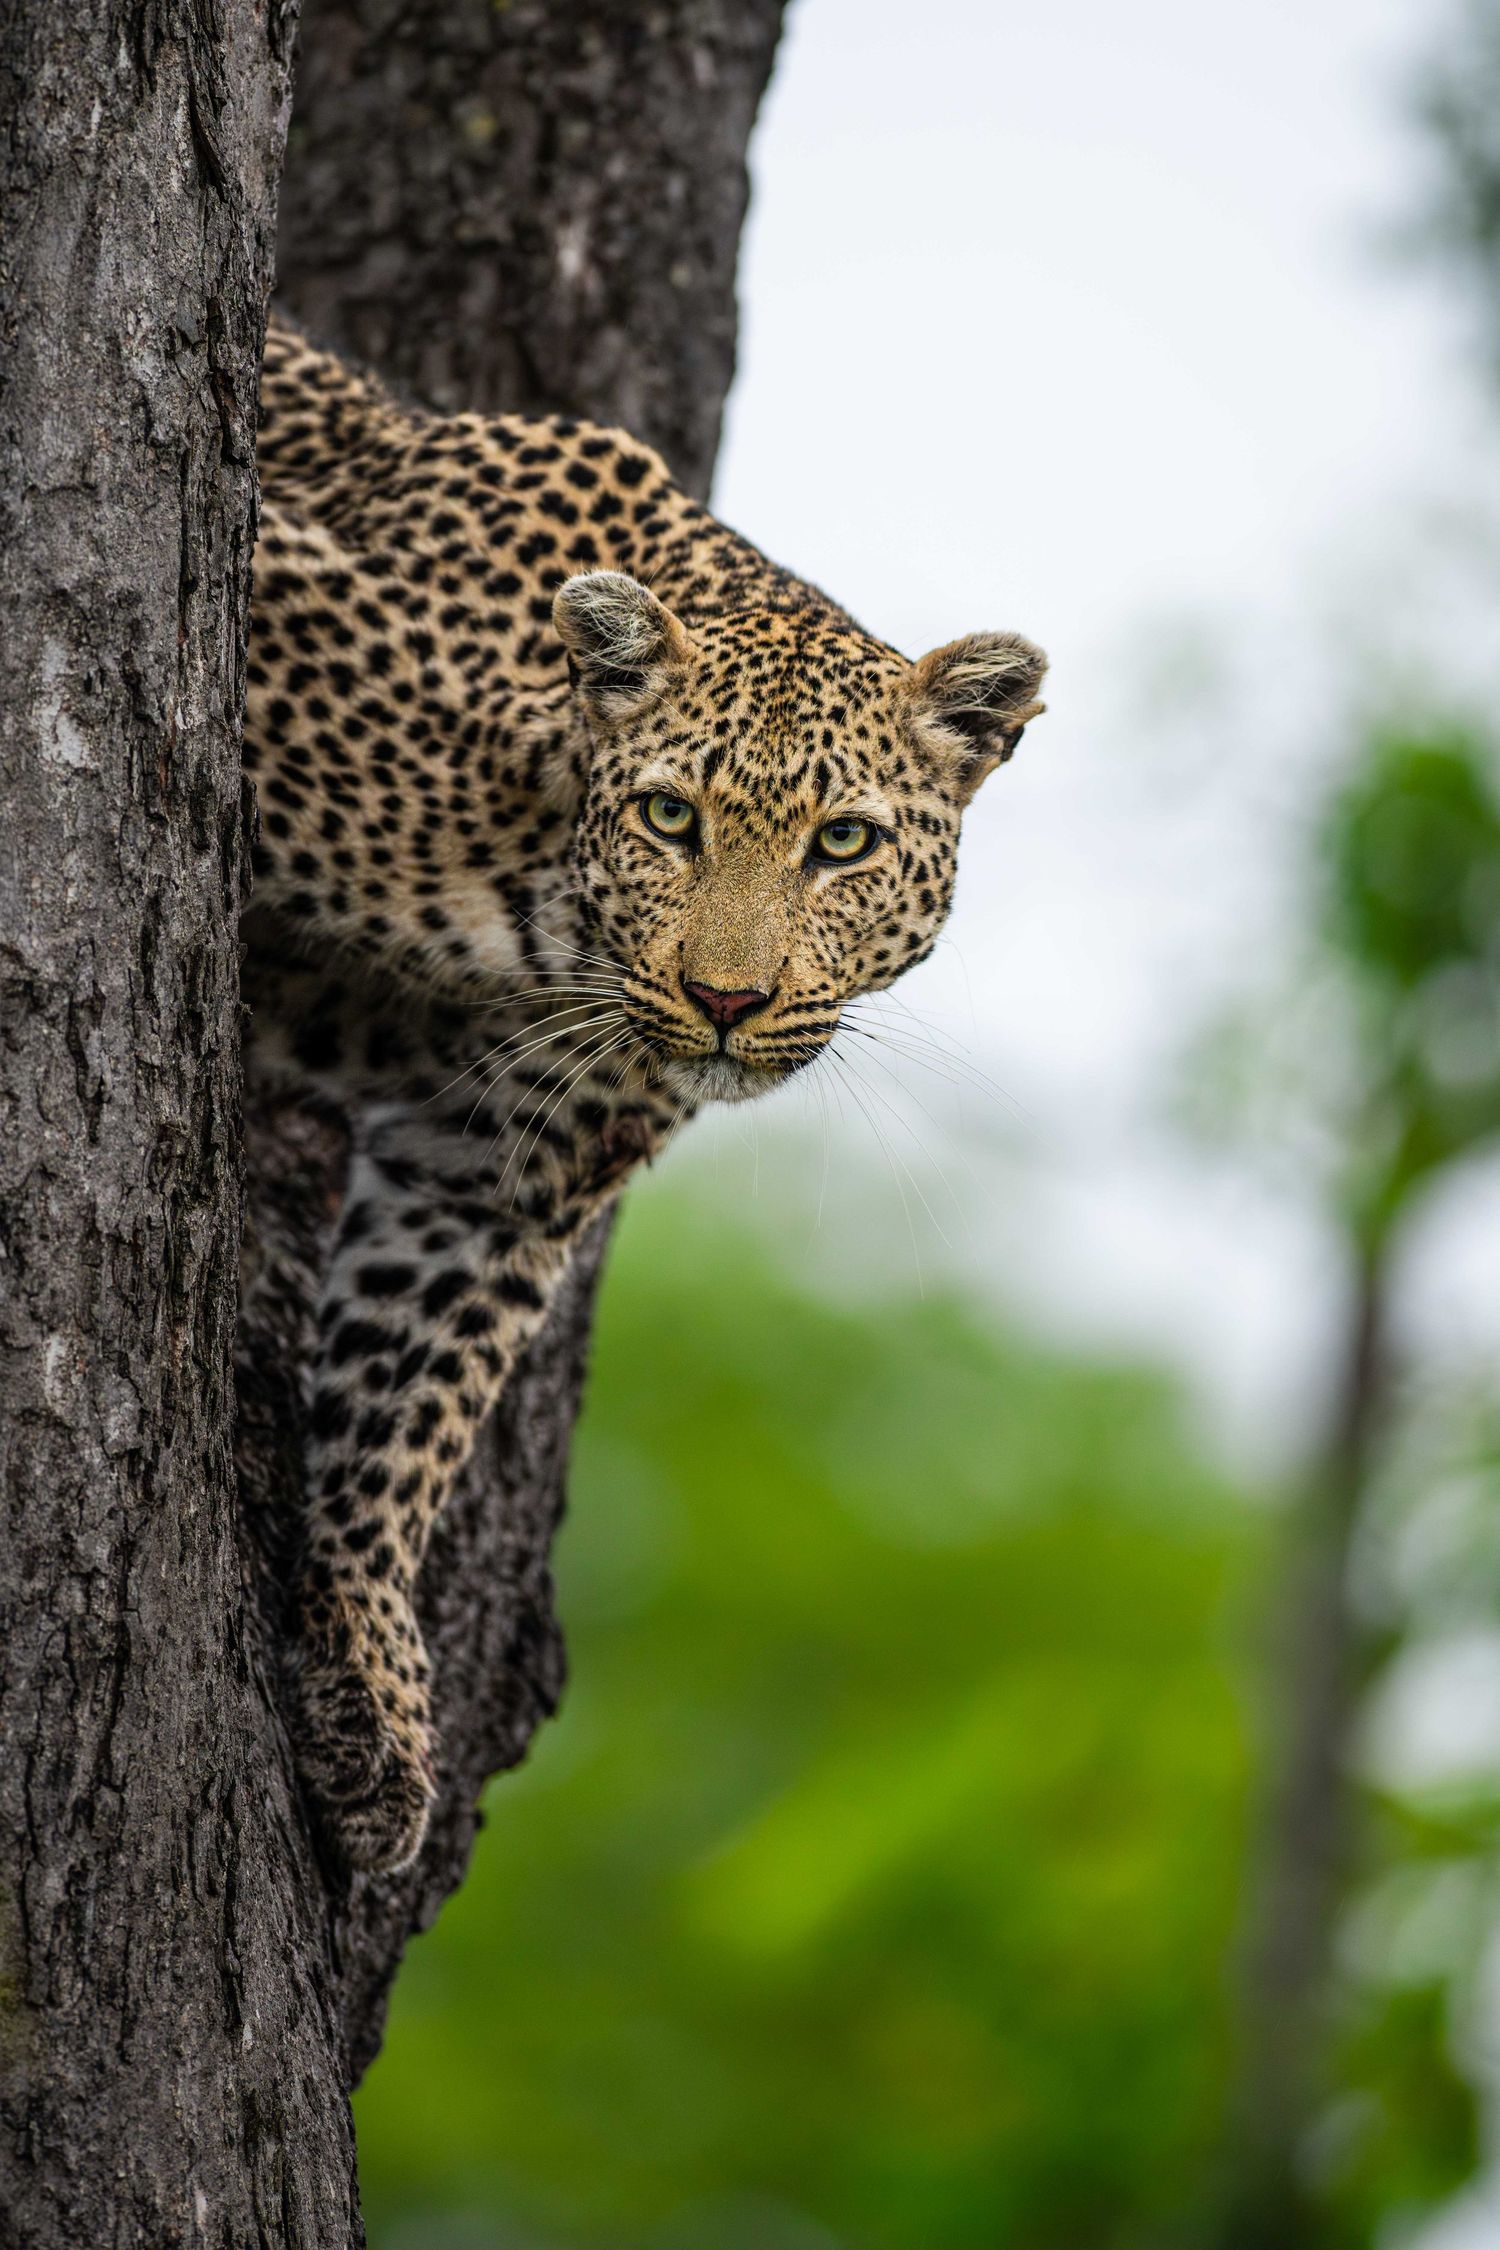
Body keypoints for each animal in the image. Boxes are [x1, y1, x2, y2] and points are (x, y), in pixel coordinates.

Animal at [243, 315, 1048, 1875]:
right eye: (673, 817)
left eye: (842, 844)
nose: (727, 1001)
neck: (549, 908)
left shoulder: (497, 1168)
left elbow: (404, 1409)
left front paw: (369, 1680)